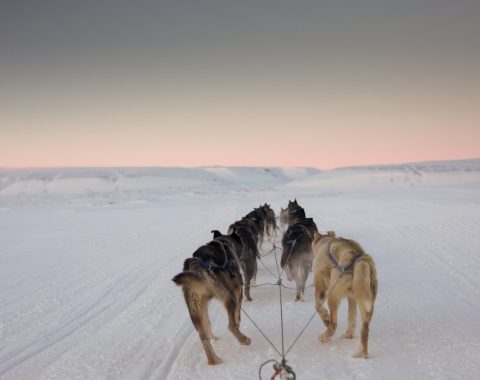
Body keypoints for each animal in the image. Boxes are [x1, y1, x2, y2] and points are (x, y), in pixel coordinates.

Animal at [312, 230, 378, 358]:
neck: (326, 242)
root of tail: (359, 258)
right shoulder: (351, 298)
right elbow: (351, 317)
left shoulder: (320, 285)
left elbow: (318, 305)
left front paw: (325, 318)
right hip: (365, 301)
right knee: (364, 329)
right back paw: (359, 351)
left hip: (332, 294)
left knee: (333, 324)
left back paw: (324, 336)